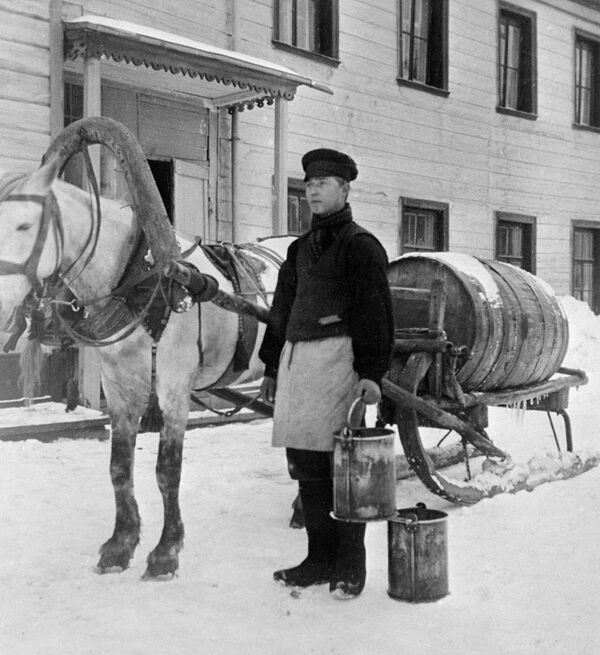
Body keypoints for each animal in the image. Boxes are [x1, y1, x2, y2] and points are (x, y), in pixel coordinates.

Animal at [0, 159, 292, 580]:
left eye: (25, 226)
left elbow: (167, 470)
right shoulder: (118, 386)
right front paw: (120, 545)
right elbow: (119, 467)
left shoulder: (174, 387)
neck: (139, 277)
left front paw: (166, 552)